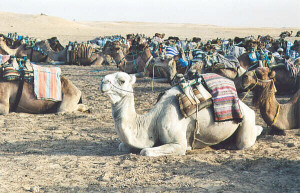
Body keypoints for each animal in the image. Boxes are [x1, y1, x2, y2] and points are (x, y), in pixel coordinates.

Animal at [101, 71, 262, 156]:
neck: (152, 121)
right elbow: (122, 146)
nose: (103, 81)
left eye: (122, 80)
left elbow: (145, 151)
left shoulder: (178, 143)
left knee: (245, 141)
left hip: (246, 122)